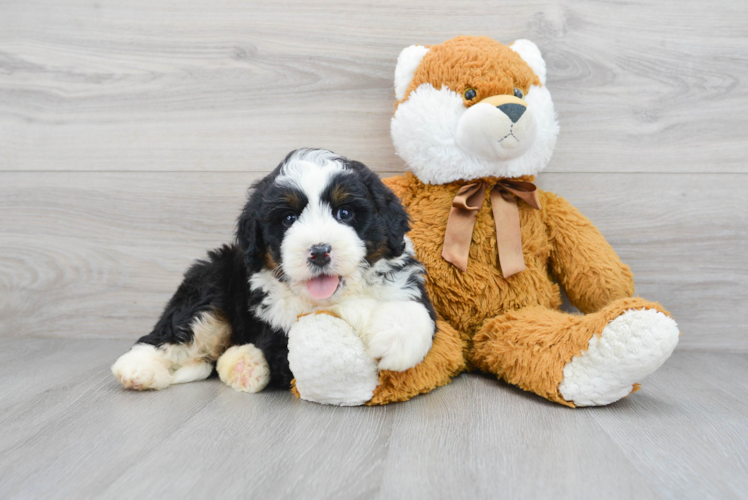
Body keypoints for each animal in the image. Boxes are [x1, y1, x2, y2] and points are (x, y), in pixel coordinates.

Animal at [112, 148, 438, 394]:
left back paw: (244, 365)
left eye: (344, 213)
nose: (319, 251)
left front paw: (395, 338)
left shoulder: (407, 284)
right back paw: (138, 369)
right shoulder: (279, 336)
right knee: (173, 331)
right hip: (210, 282)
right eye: (288, 218)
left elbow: (415, 311)